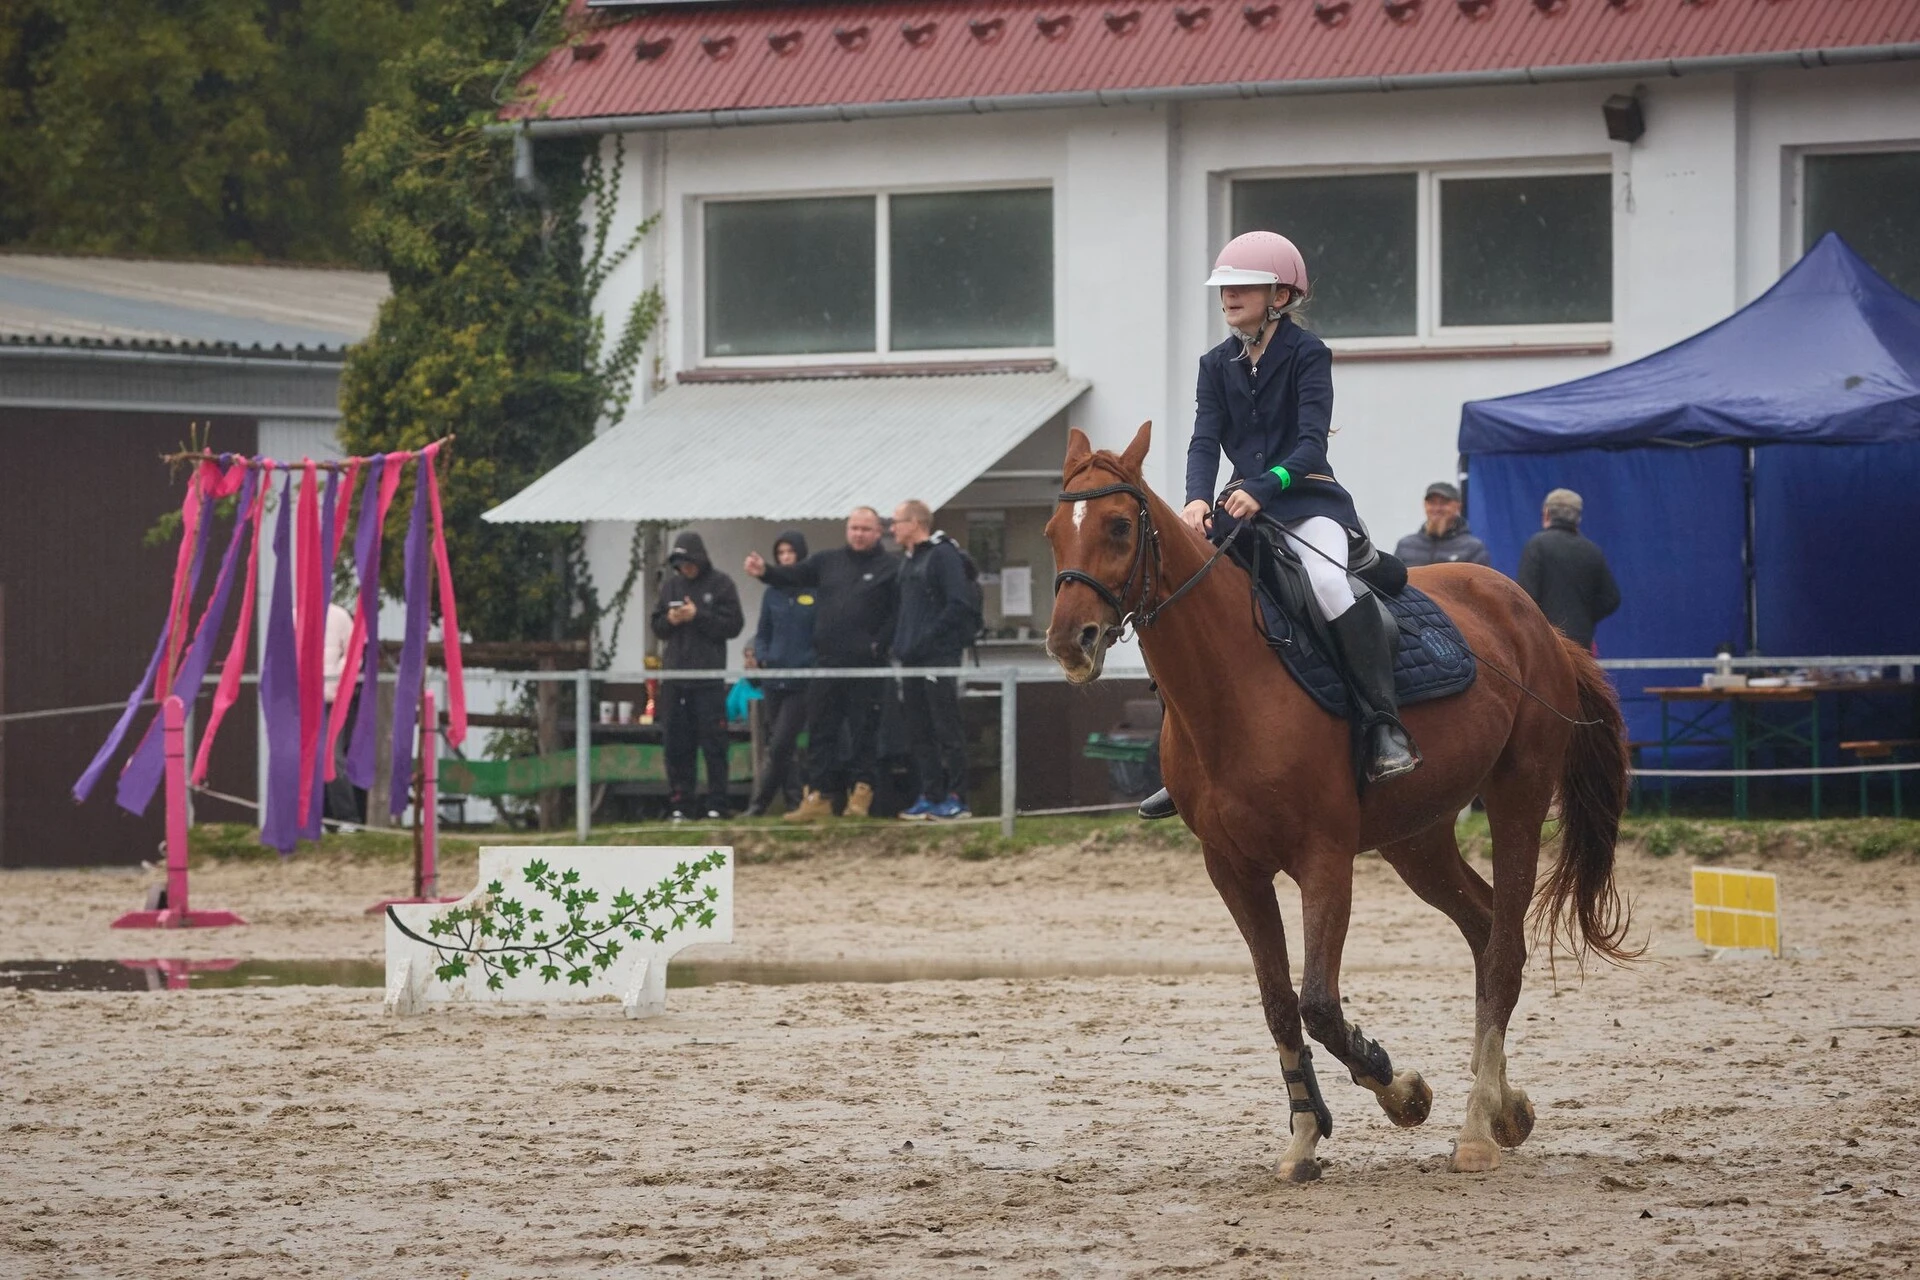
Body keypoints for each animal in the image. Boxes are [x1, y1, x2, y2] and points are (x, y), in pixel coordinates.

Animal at [1044, 422, 1628, 1182]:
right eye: (1053, 532)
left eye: (1118, 525)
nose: (1070, 641)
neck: (1232, 681)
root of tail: (1535, 616)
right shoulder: (1233, 869)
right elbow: (1278, 1004)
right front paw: (1304, 1136)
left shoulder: (1325, 859)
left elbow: (1319, 1003)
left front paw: (1402, 1091)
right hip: (1417, 837)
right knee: (1483, 927)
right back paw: (1505, 1104)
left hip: (1518, 798)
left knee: (1503, 950)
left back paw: (1476, 1125)